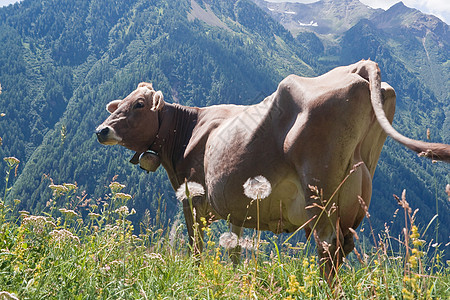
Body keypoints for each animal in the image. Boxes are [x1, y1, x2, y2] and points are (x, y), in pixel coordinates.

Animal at [96, 59, 450, 280]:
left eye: (139, 104)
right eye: (120, 103)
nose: (101, 130)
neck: (189, 129)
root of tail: (358, 67)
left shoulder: (192, 199)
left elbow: (195, 244)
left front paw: (196, 274)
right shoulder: (236, 207)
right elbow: (234, 247)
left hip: (320, 194)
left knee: (327, 248)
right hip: (356, 195)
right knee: (343, 248)